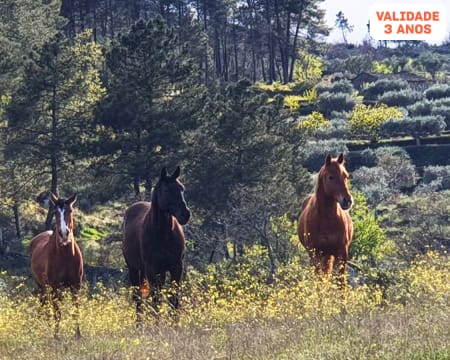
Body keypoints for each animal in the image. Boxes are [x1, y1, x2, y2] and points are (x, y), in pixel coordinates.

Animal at [29, 194, 83, 338]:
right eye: (55, 213)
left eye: (70, 210)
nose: (64, 234)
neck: (66, 256)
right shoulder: (55, 286)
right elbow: (57, 312)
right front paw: (56, 335)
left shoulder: (76, 285)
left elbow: (76, 310)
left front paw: (78, 334)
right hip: (42, 286)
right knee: (44, 305)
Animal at [123, 166, 192, 320]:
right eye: (166, 190)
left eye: (182, 188)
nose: (185, 214)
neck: (163, 234)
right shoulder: (151, 269)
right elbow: (156, 299)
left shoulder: (176, 267)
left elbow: (174, 299)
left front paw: (175, 323)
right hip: (134, 269)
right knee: (138, 298)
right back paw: (139, 323)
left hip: (160, 272)